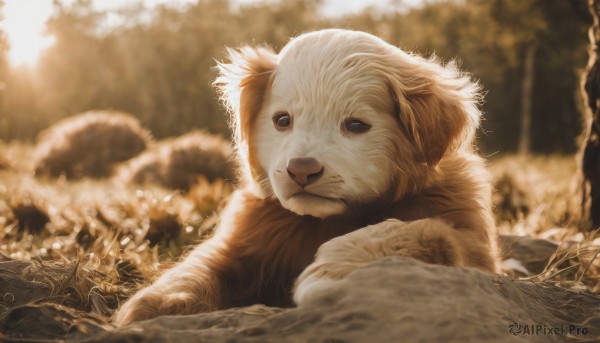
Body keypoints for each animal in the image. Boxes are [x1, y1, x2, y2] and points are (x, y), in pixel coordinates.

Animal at [115, 28, 500, 326]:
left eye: (355, 125)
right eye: (282, 120)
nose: (301, 169)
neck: (327, 220)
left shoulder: (473, 246)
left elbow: (418, 231)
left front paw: (334, 273)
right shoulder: (247, 235)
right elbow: (200, 264)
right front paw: (159, 303)